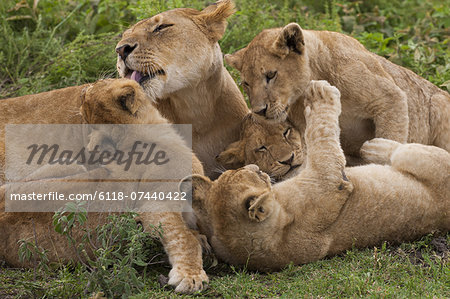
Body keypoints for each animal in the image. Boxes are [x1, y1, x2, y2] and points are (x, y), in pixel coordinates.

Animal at [184, 81, 450, 270]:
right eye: (261, 150)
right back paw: (375, 147)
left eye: (237, 171)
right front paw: (320, 94)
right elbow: (321, 136)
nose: (255, 169)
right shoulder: (329, 182)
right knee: (406, 152)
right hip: (428, 160)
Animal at [227, 23, 448, 163]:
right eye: (246, 83)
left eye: (271, 75)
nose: (259, 111)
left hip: (439, 101)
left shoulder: (390, 98)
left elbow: (390, 135)